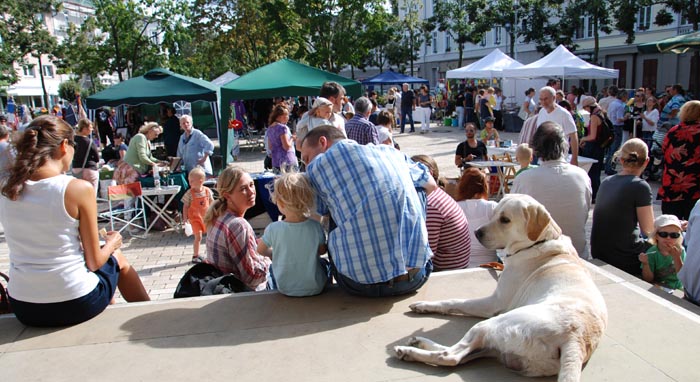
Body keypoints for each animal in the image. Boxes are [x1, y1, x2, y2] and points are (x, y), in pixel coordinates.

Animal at [394, 195, 608, 380]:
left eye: (505, 220)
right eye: (494, 213)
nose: (476, 232)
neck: (538, 242)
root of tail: (575, 339)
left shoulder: (494, 303)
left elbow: (456, 301)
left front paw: (426, 304)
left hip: (492, 324)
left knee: (451, 356)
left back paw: (409, 351)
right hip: (498, 348)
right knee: (463, 354)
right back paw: (418, 343)